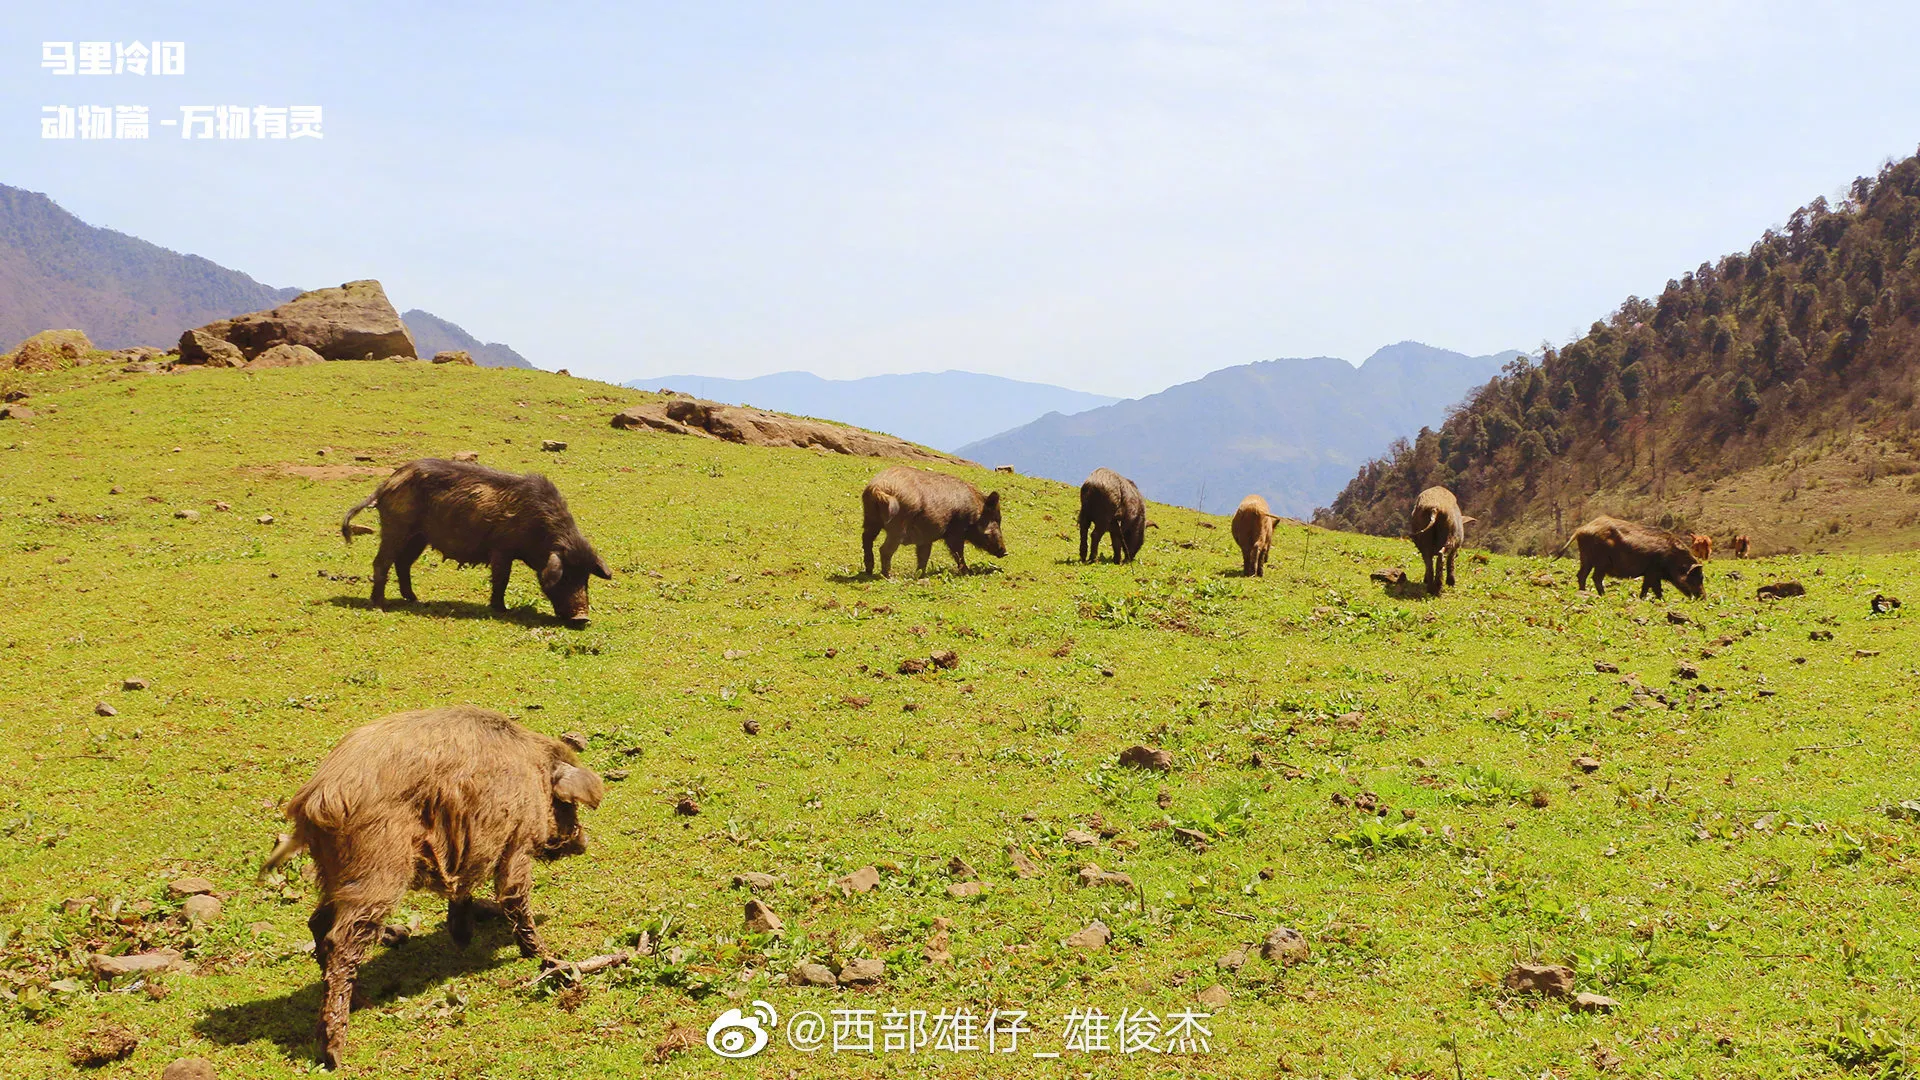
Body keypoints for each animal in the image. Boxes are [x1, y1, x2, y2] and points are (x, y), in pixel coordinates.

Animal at [255, 703, 599, 1060]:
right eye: (566, 804)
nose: (584, 842)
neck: (535, 773)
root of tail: (315, 800)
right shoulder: (514, 841)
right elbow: (514, 898)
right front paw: (547, 957)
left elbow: (463, 890)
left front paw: (463, 940)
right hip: (377, 872)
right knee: (341, 941)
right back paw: (335, 1051)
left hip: (332, 873)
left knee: (317, 923)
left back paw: (362, 1002)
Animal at [337, 455, 606, 622]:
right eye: (565, 576)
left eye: (585, 577)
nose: (582, 618)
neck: (538, 529)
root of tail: (386, 484)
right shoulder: (501, 548)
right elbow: (502, 578)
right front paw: (502, 610)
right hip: (397, 526)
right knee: (382, 562)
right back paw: (379, 605)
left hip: (419, 536)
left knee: (403, 563)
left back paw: (415, 599)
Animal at [856, 466, 1006, 576]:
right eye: (996, 519)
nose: (1005, 552)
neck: (973, 511)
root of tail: (877, 488)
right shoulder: (955, 533)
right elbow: (958, 553)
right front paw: (967, 572)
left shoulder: (925, 537)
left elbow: (924, 555)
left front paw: (920, 574)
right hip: (897, 527)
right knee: (884, 549)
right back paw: (889, 576)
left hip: (871, 519)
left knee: (866, 539)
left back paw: (869, 570)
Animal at [1566, 511, 1704, 595]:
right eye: (1697, 577)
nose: (1703, 597)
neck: (1674, 559)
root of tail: (1581, 529)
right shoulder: (1652, 572)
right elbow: (1653, 589)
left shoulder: (1652, 574)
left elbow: (1651, 588)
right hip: (1601, 562)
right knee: (1595, 578)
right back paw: (1602, 595)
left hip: (1586, 558)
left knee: (1581, 575)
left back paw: (1583, 592)